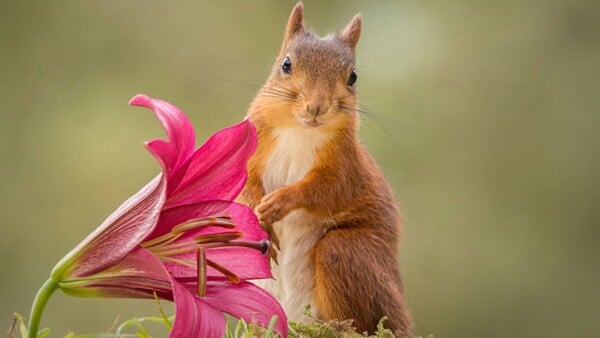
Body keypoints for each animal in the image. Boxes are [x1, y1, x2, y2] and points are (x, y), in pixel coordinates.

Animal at [237, 1, 414, 336]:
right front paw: (257, 211)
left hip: (348, 255)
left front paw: (281, 202)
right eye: (286, 65)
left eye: (353, 76)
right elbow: (243, 184)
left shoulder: (347, 166)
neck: (299, 131)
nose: (316, 107)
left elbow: (329, 190)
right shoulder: (250, 145)